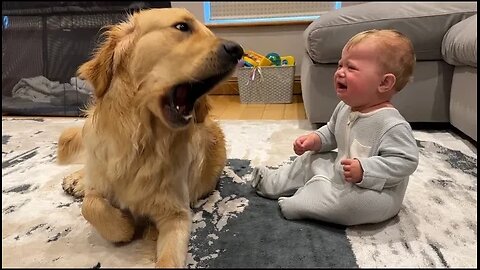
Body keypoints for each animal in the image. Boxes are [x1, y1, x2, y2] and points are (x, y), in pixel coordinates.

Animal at [56, 7, 244, 266]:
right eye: (182, 27)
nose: (238, 50)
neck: (142, 142)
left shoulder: (177, 215)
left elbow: (168, 258)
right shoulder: (103, 184)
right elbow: (91, 206)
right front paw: (124, 226)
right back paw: (78, 180)